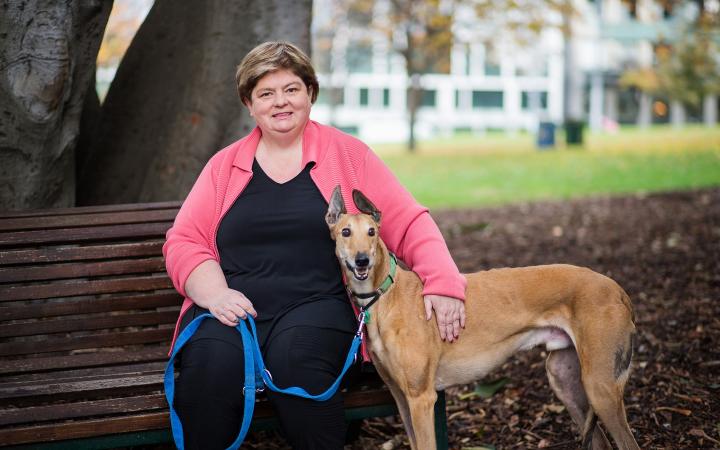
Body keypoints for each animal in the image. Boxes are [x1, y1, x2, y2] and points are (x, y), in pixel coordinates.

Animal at [324, 188, 640, 450]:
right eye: (346, 231)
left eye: (373, 231)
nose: (362, 260)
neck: (386, 296)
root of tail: (617, 289)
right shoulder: (401, 398)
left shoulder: (421, 398)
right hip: (565, 380)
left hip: (600, 388)